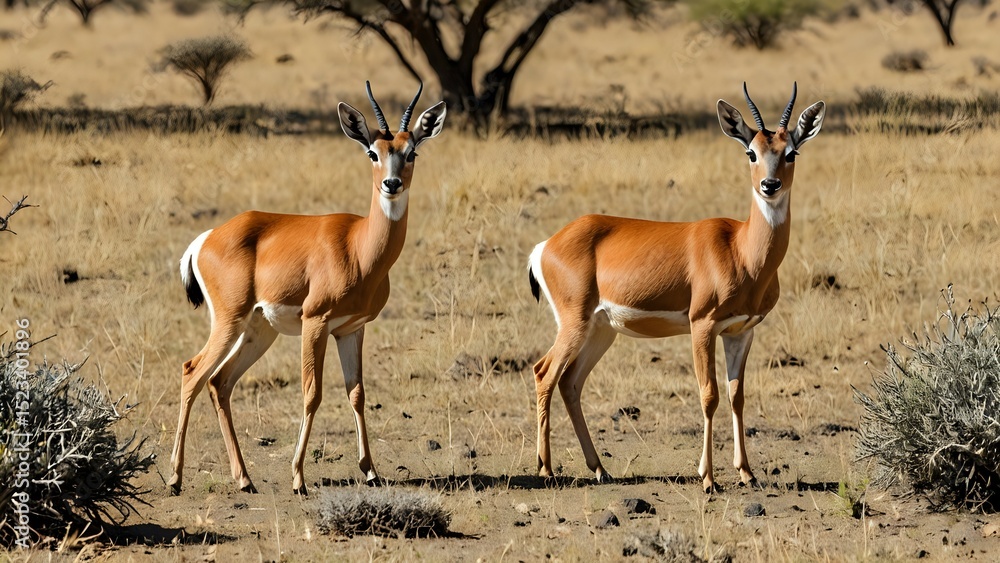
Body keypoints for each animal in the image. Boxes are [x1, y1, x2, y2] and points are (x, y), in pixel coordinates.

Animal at [169, 82, 446, 495]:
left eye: (411, 152)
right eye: (373, 152)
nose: (391, 184)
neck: (358, 247)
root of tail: (207, 238)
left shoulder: (351, 329)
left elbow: (357, 393)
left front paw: (371, 471)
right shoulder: (315, 322)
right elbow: (312, 393)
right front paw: (298, 478)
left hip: (258, 331)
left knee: (220, 382)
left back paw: (245, 479)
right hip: (230, 322)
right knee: (192, 372)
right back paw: (175, 478)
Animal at [527, 84, 825, 493]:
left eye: (790, 152)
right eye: (751, 152)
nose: (770, 185)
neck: (741, 249)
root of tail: (547, 244)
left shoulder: (741, 332)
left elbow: (737, 395)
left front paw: (747, 472)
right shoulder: (702, 326)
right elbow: (709, 395)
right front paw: (708, 478)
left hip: (602, 330)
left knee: (570, 382)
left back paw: (600, 469)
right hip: (575, 324)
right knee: (544, 373)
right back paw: (546, 470)